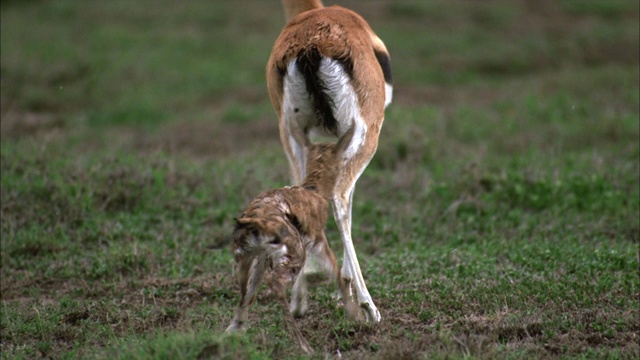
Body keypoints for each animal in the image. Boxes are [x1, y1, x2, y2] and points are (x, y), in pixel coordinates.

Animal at [225, 128, 358, 352]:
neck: (314, 191)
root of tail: (254, 220)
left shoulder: (262, 258)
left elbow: (251, 293)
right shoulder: (319, 241)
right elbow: (338, 273)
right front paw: (358, 315)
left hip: (245, 259)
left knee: (246, 294)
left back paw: (234, 331)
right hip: (296, 254)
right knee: (275, 282)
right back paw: (305, 346)